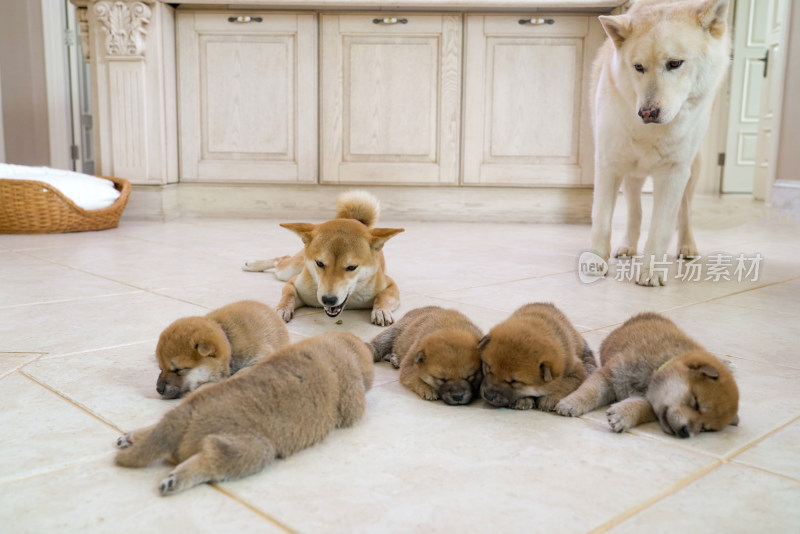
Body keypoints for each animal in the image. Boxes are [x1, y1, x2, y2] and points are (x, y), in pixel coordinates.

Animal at [115, 336, 376, 498]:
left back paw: (130, 437)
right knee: (211, 458)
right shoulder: (352, 394)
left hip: (182, 409)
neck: (336, 344)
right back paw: (174, 480)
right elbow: (355, 411)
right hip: (254, 448)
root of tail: (185, 415)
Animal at [556, 314, 736, 440]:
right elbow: (590, 391)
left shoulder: (652, 402)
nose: (686, 433)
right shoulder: (610, 376)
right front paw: (570, 403)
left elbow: (640, 407)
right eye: (696, 403)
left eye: (705, 428)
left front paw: (622, 416)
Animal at [588, 0, 732, 286]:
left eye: (675, 63)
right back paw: (628, 245)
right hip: (632, 174)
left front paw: (651, 272)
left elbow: (661, 227)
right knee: (635, 211)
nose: (647, 113)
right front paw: (596, 261)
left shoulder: (674, 173)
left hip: (692, 171)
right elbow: (602, 218)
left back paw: (687, 246)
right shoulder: (609, 164)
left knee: (685, 211)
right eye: (638, 67)